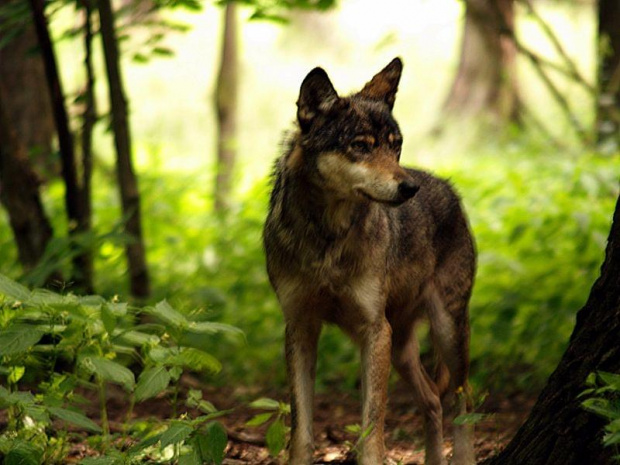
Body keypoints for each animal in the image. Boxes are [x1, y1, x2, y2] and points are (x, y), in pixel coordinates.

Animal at [262, 59, 474, 464]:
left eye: (396, 146)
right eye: (360, 147)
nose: (409, 188)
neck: (327, 239)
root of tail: (450, 190)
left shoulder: (374, 331)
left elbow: (372, 427)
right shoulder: (300, 327)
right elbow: (301, 428)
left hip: (445, 332)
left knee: (463, 401)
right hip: (402, 350)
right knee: (432, 400)